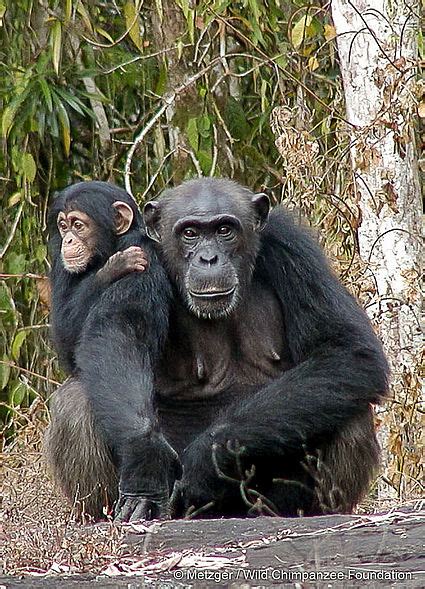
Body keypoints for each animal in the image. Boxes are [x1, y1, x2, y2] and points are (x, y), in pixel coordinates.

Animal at [45, 178, 388, 520]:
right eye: (190, 233)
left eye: (224, 230)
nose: (208, 258)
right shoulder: (140, 255)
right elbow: (121, 335)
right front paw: (146, 464)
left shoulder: (294, 249)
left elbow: (347, 348)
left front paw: (207, 459)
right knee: (74, 401)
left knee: (348, 404)